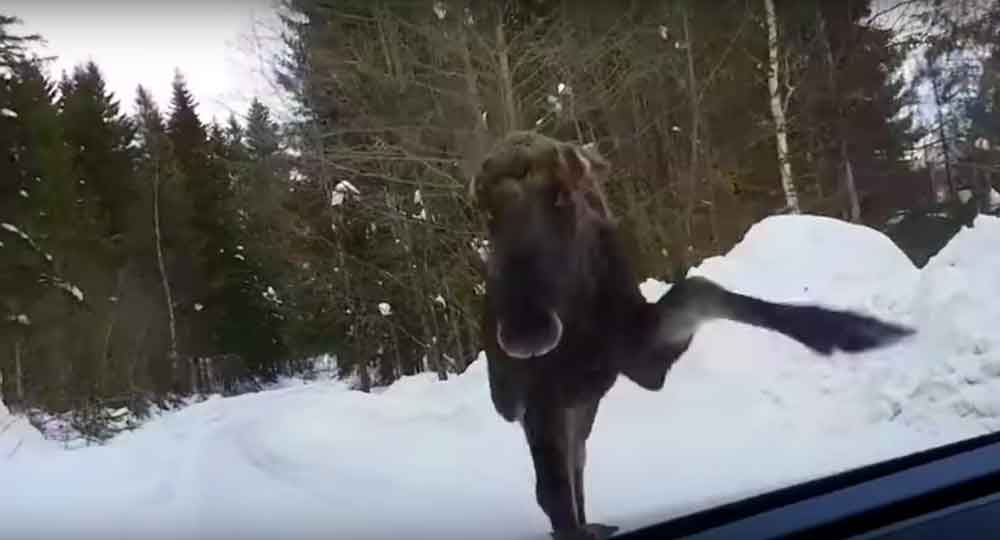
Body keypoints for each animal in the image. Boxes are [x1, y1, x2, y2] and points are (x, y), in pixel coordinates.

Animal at [470, 131, 915, 540]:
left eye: (563, 196)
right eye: (487, 214)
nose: (526, 329)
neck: (582, 326)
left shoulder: (641, 359)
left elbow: (701, 289)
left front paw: (850, 328)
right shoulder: (538, 394)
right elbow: (553, 491)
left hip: (584, 403)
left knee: (577, 462)